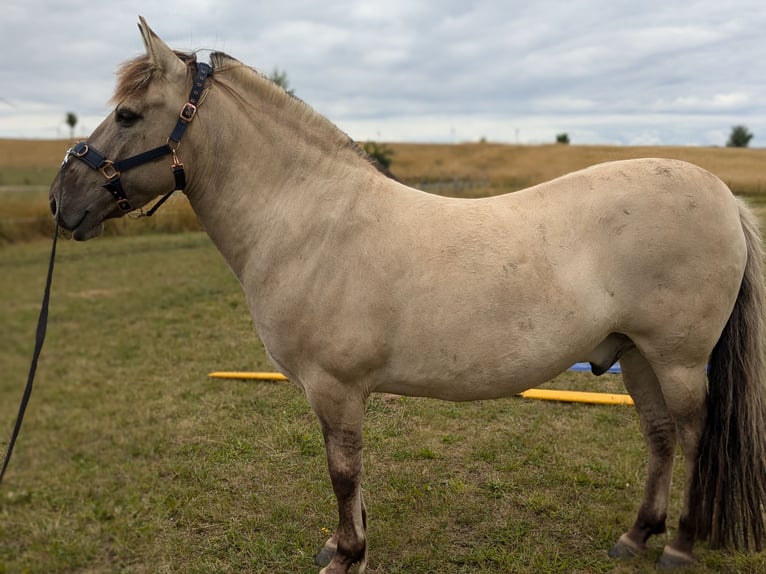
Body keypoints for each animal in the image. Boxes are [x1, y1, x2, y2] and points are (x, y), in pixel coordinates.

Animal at [49, 19, 766, 574]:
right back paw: (636, 535)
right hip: (636, 355)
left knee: (694, 438)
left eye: (128, 115)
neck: (309, 221)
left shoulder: (335, 387)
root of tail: (725, 198)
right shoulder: (334, 391)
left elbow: (342, 471)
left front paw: (347, 554)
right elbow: (350, 472)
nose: (61, 200)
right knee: (660, 437)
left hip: (677, 360)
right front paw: (345, 544)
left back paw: (678, 546)